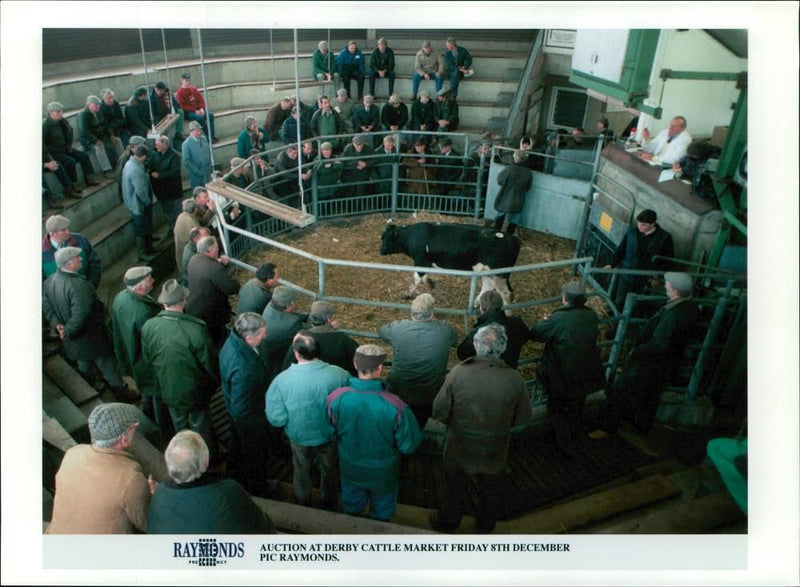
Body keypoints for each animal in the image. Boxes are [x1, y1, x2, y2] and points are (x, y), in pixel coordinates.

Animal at [382, 219, 524, 304]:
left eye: (386, 238)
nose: (381, 250)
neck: (413, 235)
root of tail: (514, 239)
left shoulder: (420, 261)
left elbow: (416, 279)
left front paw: (408, 294)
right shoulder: (426, 263)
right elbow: (425, 277)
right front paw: (430, 284)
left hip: (499, 274)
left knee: (506, 293)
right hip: (486, 272)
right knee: (488, 286)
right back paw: (477, 303)